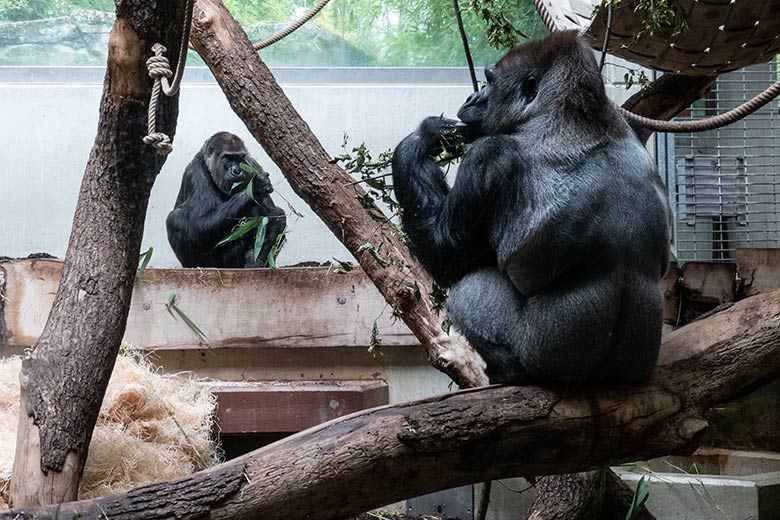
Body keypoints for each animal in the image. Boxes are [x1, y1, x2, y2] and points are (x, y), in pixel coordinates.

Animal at [168, 132, 286, 268]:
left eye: (239, 159)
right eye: (228, 158)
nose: (237, 171)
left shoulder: (252, 165)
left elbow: (274, 215)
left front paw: (257, 260)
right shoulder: (196, 174)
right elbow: (198, 226)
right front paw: (255, 188)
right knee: (174, 218)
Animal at [390, 30, 672, 384]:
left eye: (489, 82)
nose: (472, 98)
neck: (573, 115)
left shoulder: (488, 157)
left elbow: (445, 257)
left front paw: (422, 137)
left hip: (546, 357)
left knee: (469, 290)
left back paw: (510, 372)